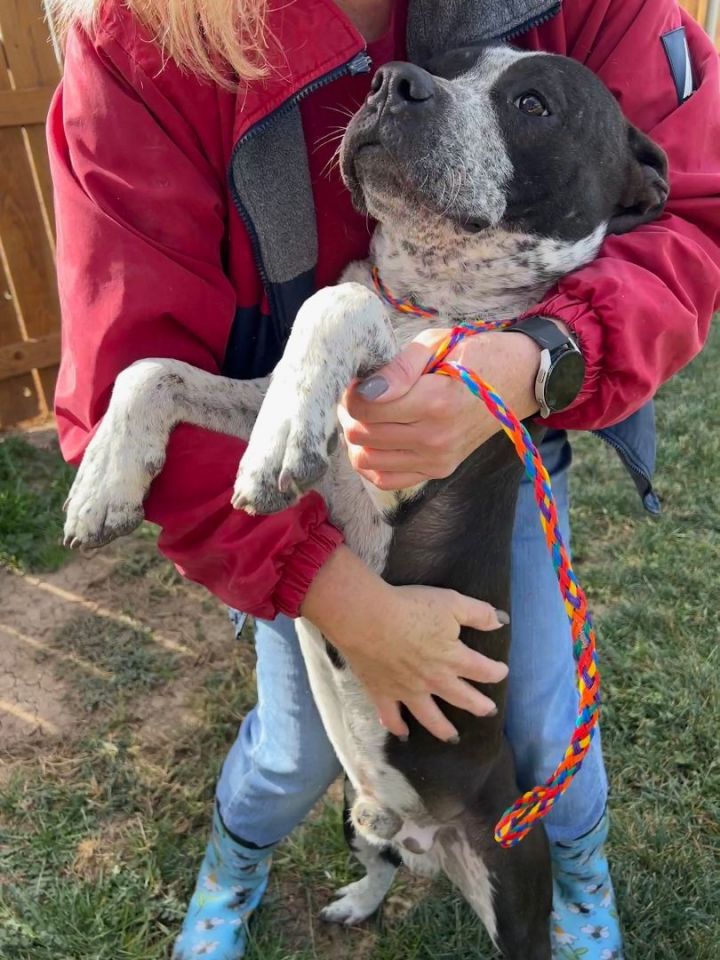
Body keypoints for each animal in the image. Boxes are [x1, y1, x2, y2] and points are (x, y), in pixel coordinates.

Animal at [64, 47, 668, 960]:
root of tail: (426, 840)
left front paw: (280, 435)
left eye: (533, 103)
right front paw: (104, 478)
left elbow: (335, 304)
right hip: (355, 814)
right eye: (452, 66)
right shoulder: (263, 395)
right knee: (379, 861)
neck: (425, 295)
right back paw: (357, 898)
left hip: (512, 875)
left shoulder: (407, 454)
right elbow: (152, 368)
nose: (396, 83)